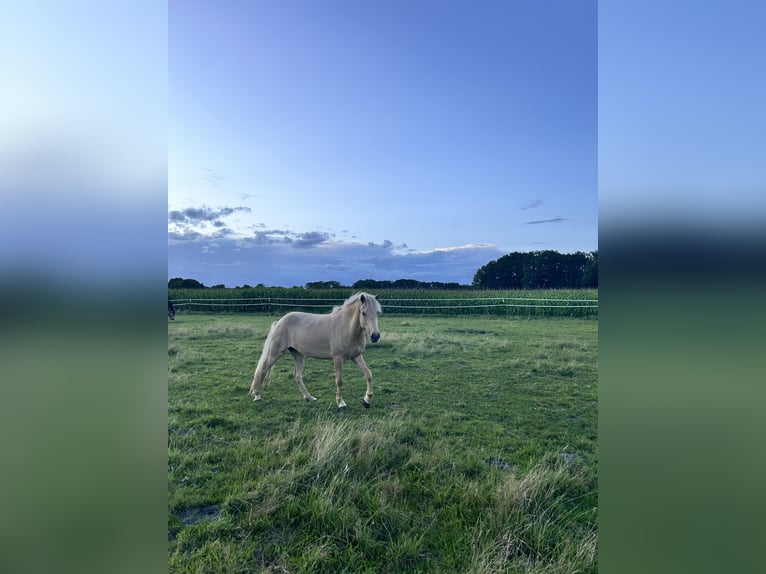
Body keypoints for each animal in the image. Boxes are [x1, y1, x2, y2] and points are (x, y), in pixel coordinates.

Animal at [249, 292, 382, 408]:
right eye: (363, 313)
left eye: (377, 313)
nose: (375, 336)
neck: (346, 327)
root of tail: (279, 322)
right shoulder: (338, 358)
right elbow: (339, 380)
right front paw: (340, 403)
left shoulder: (356, 356)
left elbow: (368, 374)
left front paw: (367, 400)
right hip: (275, 353)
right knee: (263, 369)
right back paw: (257, 395)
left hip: (298, 355)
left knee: (297, 376)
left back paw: (309, 397)